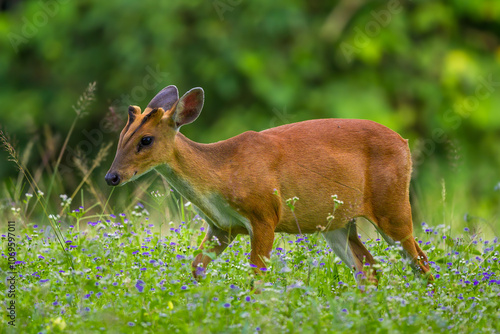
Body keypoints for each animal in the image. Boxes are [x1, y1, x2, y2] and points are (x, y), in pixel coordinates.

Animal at [105, 85, 434, 286]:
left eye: (146, 139)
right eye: (121, 136)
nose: (112, 177)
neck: (221, 173)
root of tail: (405, 143)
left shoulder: (265, 215)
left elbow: (258, 277)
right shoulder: (221, 227)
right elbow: (196, 268)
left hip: (392, 207)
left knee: (422, 263)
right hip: (340, 224)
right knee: (369, 270)